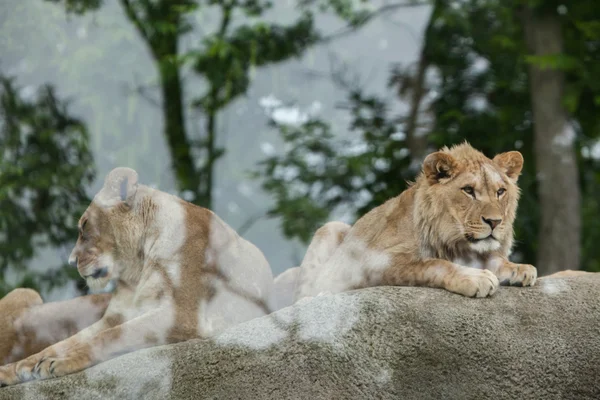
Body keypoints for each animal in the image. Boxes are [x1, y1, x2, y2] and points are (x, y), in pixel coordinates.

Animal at [0, 167, 272, 386]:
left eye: (85, 226)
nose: (70, 261)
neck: (137, 267)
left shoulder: (183, 315)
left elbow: (107, 337)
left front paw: (58, 362)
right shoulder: (115, 316)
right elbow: (68, 340)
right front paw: (16, 367)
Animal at [296, 142, 540, 302]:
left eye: (500, 192)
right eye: (469, 190)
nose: (495, 222)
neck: (455, 242)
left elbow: (494, 259)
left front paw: (518, 269)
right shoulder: (372, 263)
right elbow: (434, 264)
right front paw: (474, 277)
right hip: (330, 228)